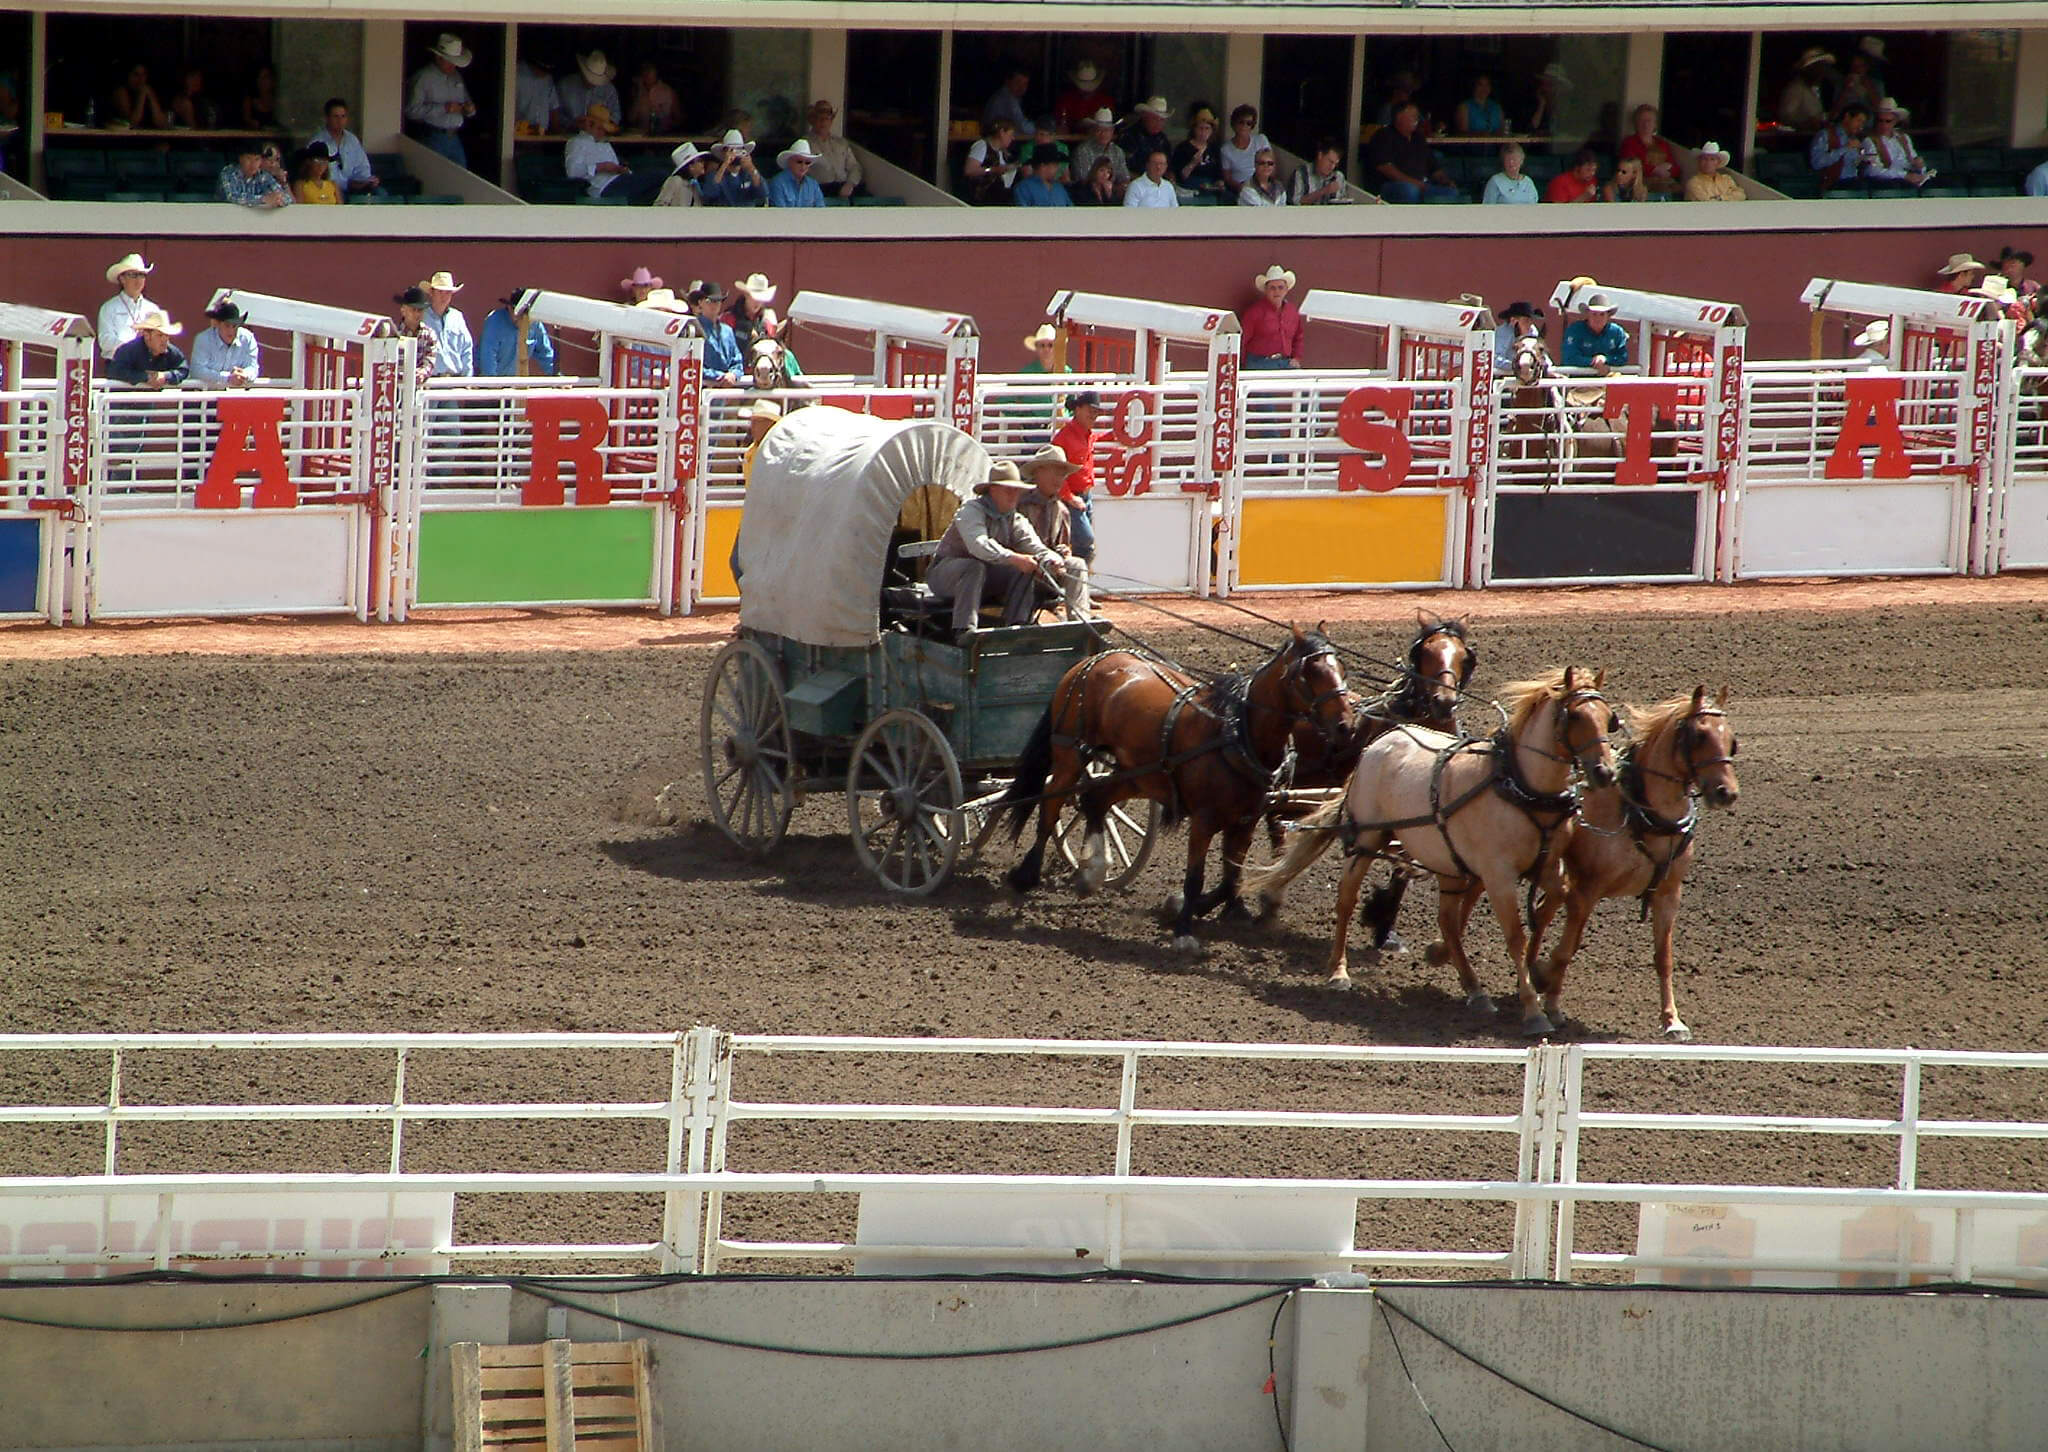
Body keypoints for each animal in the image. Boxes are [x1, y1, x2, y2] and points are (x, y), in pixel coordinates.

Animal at [999, 626, 1351, 946]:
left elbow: (1233, 874)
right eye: (1309, 673)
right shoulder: (1204, 820)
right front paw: (1184, 927)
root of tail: (1094, 660)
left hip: (1135, 772)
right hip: (1071, 752)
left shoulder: (1245, 820)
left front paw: (1226, 910)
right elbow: (1196, 877)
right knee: (1050, 803)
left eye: (1340, 668)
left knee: (1095, 800)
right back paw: (1026, 874)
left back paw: (1092, 871)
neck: (1238, 733)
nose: (1345, 726)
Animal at [1236, 667, 1622, 1032]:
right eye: (1576, 716)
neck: (1521, 787)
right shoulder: (1498, 875)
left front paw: (1542, 979)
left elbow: (1558, 900)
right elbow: (1515, 937)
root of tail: (1380, 742)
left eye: (1608, 718)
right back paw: (1338, 972)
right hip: (1365, 842)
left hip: (1447, 860)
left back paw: (1474, 989)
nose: (1605, 772)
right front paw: (1533, 1010)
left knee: (1448, 921)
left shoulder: (1547, 866)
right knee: (1346, 899)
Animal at [1523, 684, 1744, 1036]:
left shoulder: (1669, 894)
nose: (1727, 792)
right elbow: (1567, 949)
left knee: (1543, 912)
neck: (1641, 812)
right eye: (1698, 736)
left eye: (1731, 739)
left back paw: (1534, 970)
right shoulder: (1586, 892)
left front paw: (1672, 1020)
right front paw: (1554, 1006)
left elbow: (1663, 957)